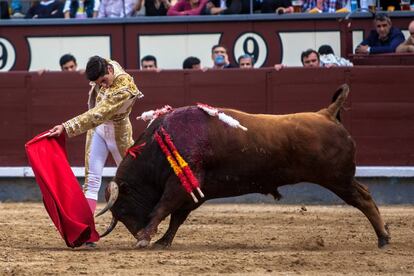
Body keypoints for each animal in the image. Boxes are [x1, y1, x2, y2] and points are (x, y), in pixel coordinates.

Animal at [97, 83, 392, 248]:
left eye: (122, 208)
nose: (135, 232)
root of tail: (327, 113)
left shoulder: (180, 184)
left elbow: (163, 208)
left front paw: (146, 238)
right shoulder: (193, 191)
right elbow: (178, 217)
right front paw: (162, 240)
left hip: (337, 178)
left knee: (363, 199)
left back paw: (383, 238)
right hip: (340, 178)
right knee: (365, 195)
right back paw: (385, 235)